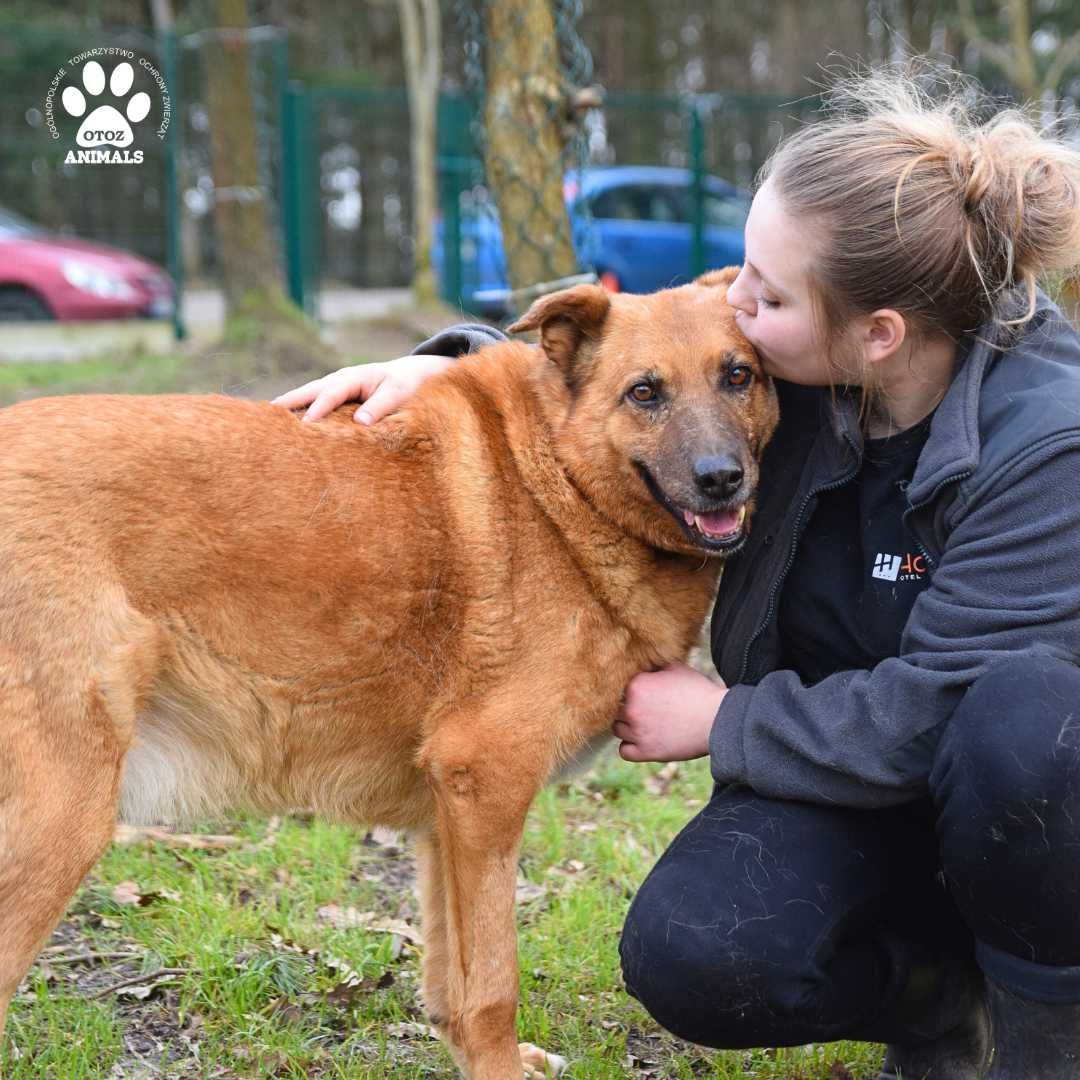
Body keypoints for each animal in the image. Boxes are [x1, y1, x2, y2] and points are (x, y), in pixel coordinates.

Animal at [0, 265, 777, 1075]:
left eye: (738, 376)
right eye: (644, 393)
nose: (722, 479)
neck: (558, 483)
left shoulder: (447, 812)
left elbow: (452, 983)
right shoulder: (486, 784)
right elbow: (493, 979)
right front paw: (500, 1067)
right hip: (59, 823)